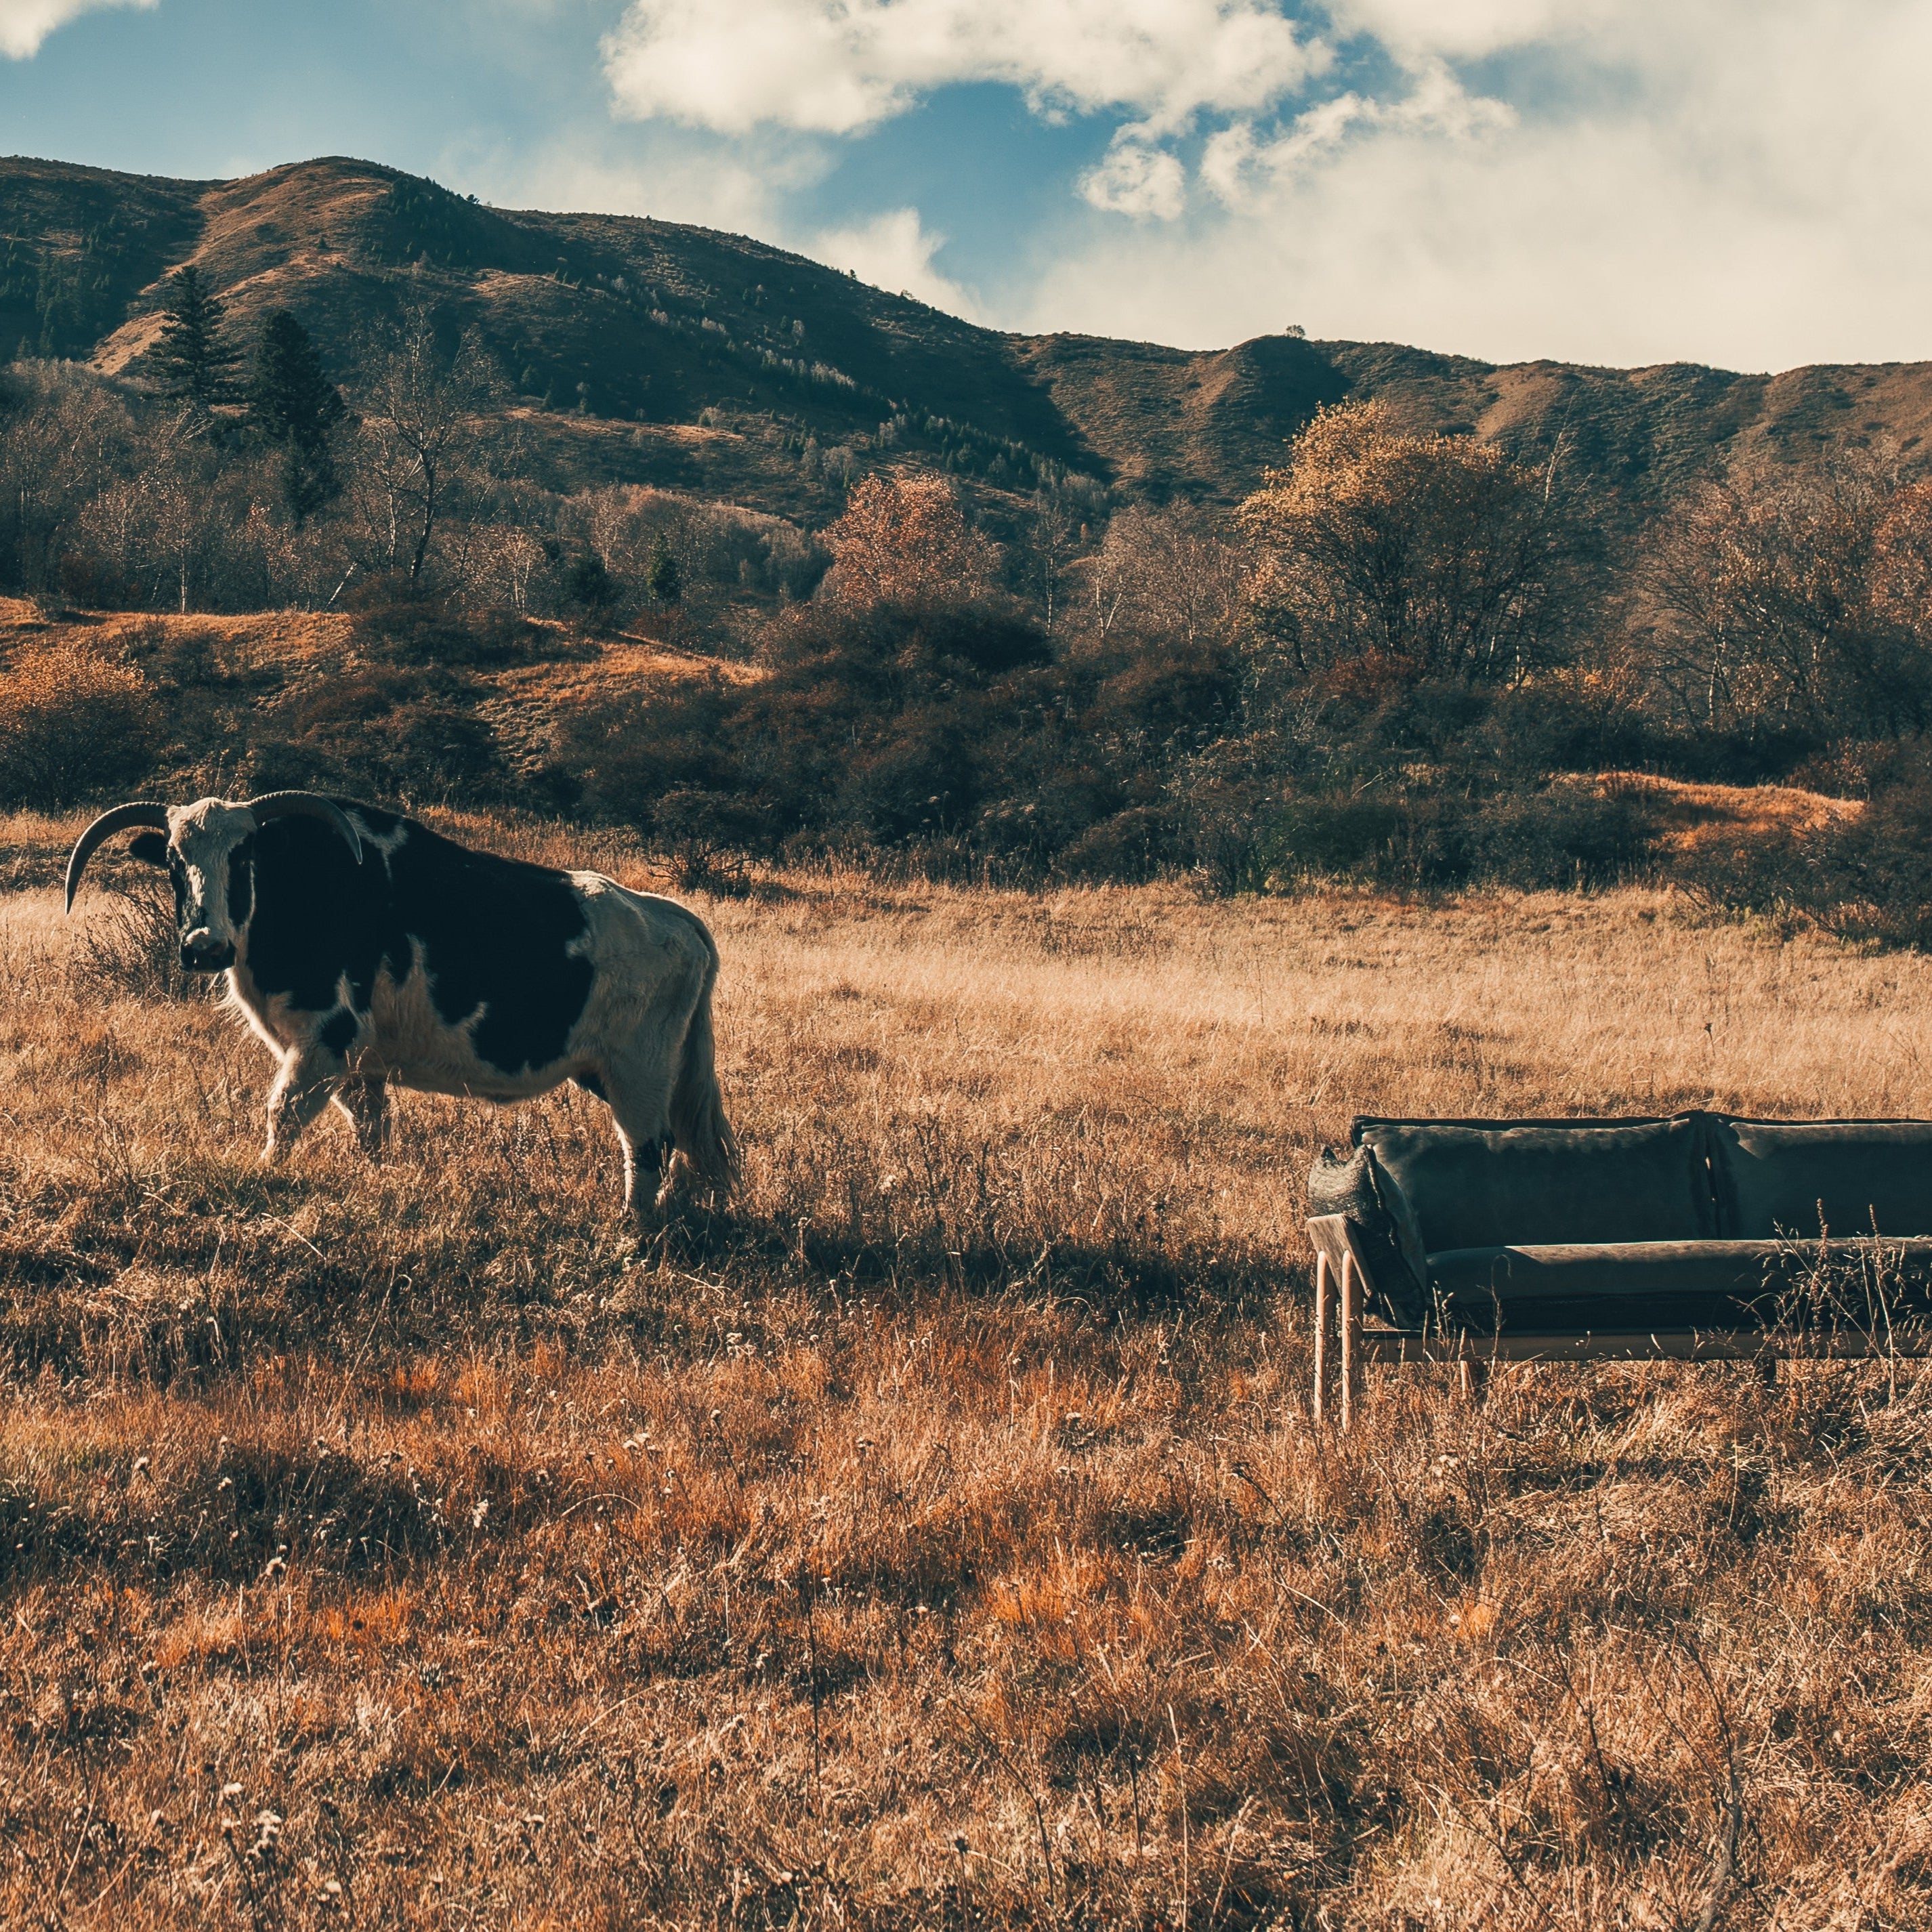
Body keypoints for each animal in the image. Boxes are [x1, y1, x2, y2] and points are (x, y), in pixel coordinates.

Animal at [62, 788, 738, 1205]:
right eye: (174, 861)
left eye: (244, 854)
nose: (204, 947)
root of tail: (677, 920)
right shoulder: (360, 1067)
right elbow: (372, 1131)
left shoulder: (324, 1043)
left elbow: (283, 1118)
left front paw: (260, 1179)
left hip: (638, 1073)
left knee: (648, 1149)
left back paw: (631, 1238)